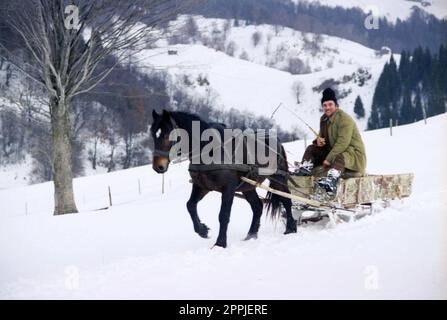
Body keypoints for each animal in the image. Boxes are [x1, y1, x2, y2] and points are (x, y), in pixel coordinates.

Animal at [150, 110, 298, 248]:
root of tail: (276, 140)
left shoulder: (228, 189)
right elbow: (190, 205)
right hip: (248, 186)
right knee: (257, 207)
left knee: (286, 200)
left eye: (167, 134)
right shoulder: (202, 186)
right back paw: (251, 235)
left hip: (278, 177)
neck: (209, 150)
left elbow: (223, 215)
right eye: (153, 134)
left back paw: (290, 228)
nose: (158, 166)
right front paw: (203, 230)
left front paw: (220, 243)